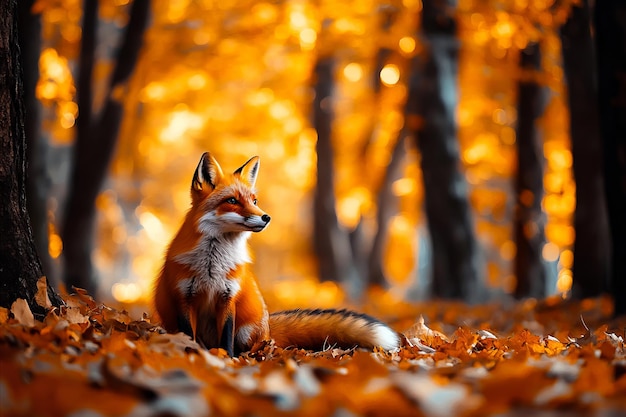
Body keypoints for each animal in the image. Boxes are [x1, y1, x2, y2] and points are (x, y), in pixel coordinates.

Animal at [155, 152, 400, 354]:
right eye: (232, 201)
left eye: (254, 201)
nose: (266, 217)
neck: (211, 266)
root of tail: (269, 328)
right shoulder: (184, 298)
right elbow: (189, 337)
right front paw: (192, 355)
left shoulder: (228, 298)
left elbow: (226, 341)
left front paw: (227, 359)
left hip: (247, 328)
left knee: (253, 347)